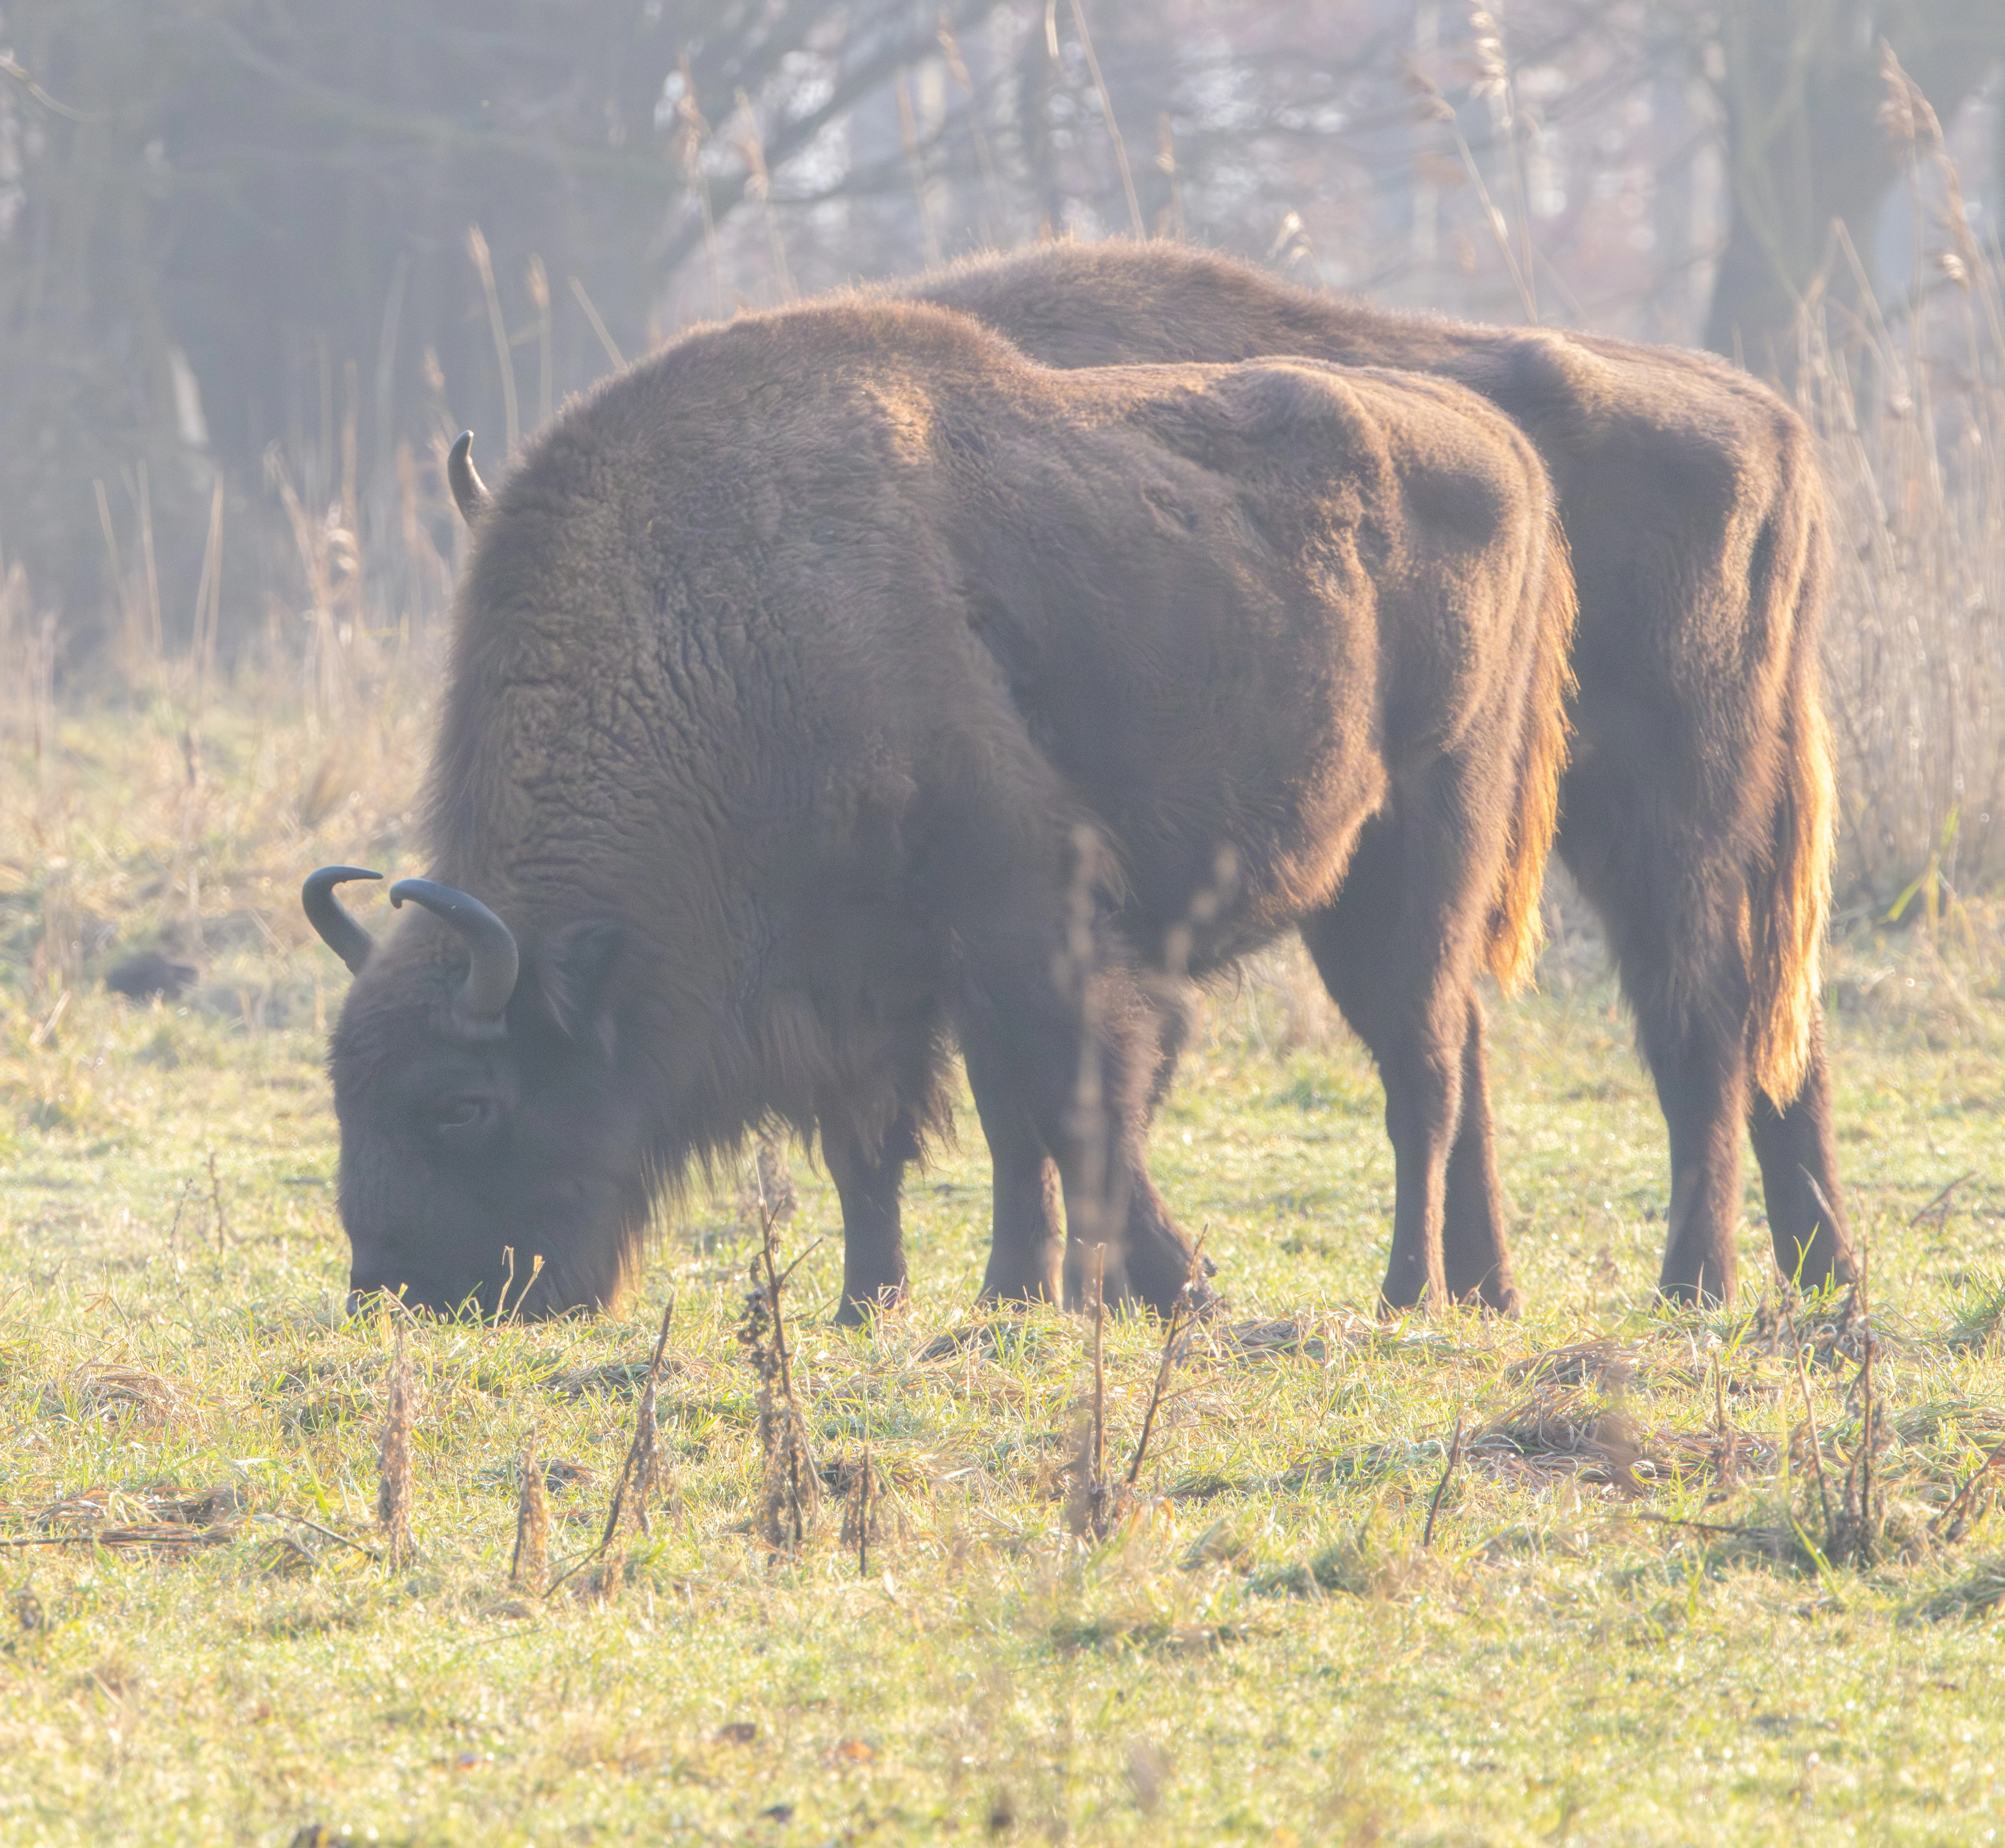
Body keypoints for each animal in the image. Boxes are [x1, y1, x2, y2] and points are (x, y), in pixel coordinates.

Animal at [306, 298, 1572, 1320]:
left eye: (462, 1103)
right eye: (344, 1091)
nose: (395, 1286)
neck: (730, 624)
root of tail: (1504, 448)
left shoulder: (1018, 917)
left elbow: (1070, 1105)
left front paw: (1176, 1290)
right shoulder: (870, 973)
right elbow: (879, 1140)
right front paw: (893, 1302)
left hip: (1416, 854)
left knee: (1421, 1071)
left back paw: (1408, 1292)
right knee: (1459, 1049)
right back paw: (1488, 1287)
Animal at [899, 241, 1855, 1307]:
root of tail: (1769, 423)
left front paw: (1041, 1289)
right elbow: (1014, 1093)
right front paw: (1033, 1290)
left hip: (1666, 814)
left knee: (1705, 1019)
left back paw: (1696, 1280)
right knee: (1775, 1029)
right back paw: (1810, 1277)